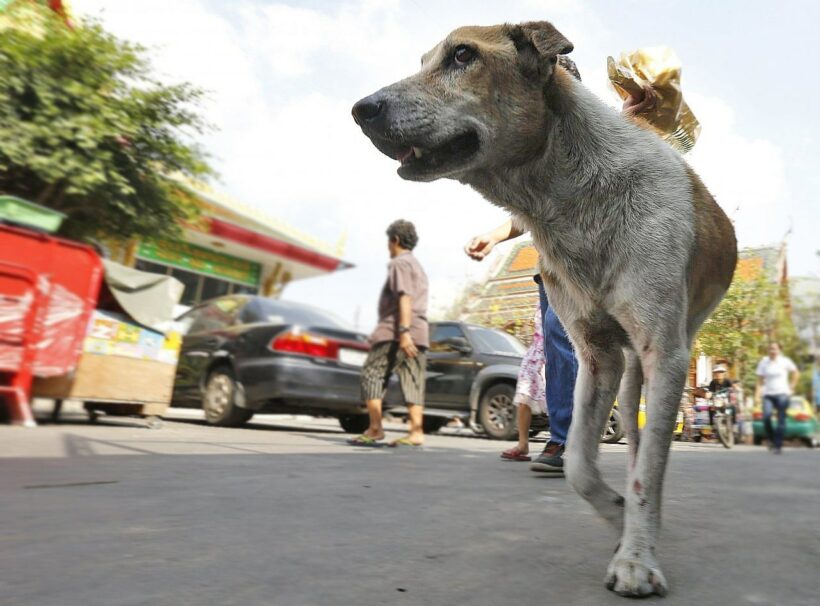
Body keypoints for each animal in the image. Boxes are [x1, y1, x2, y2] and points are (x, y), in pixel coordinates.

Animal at [352, 21, 736, 600]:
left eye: (462, 55)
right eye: (423, 61)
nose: (362, 108)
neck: (568, 197)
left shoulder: (663, 352)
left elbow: (646, 471)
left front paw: (637, 558)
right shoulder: (596, 355)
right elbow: (578, 462)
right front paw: (619, 517)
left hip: (659, 357)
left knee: (647, 444)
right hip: (626, 367)